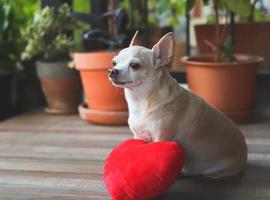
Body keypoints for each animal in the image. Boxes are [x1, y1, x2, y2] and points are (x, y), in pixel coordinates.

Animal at [108, 31, 247, 178]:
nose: (112, 71)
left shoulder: (161, 138)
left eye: (134, 65)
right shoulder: (139, 136)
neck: (140, 101)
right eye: (114, 62)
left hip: (216, 170)